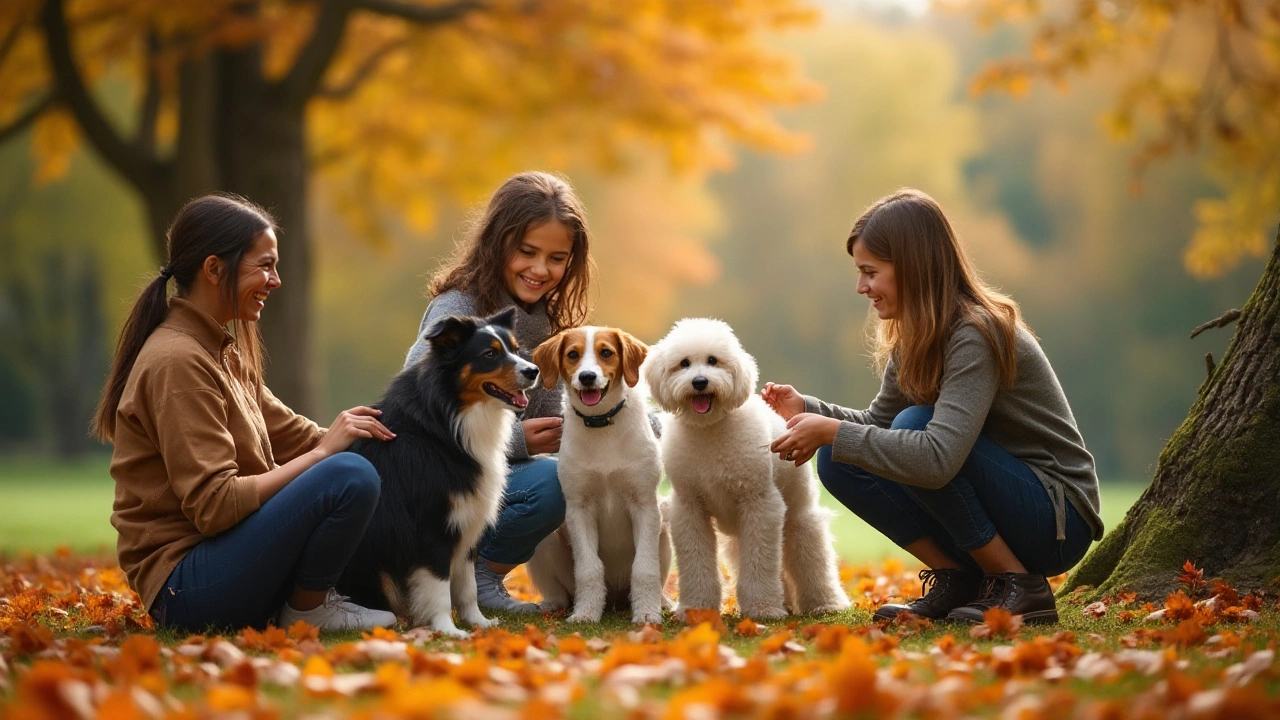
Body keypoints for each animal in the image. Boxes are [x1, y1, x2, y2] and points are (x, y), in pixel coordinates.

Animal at [337, 308, 537, 632]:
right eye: (489, 354)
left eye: (516, 349)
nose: (534, 371)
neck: (448, 420)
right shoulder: (432, 525)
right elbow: (439, 586)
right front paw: (448, 630)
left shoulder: (467, 520)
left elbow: (467, 587)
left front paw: (479, 623)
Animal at [524, 326, 675, 622]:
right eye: (573, 355)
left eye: (606, 352)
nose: (587, 377)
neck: (601, 424)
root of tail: (616, 598)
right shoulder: (579, 508)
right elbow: (589, 568)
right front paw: (586, 614)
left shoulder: (645, 505)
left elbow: (645, 568)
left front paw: (647, 614)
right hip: (546, 540)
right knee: (560, 591)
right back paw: (553, 605)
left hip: (665, 528)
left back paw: (663, 603)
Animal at [645, 317, 844, 617]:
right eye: (684, 363)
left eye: (713, 360)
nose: (700, 382)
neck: (711, 428)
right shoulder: (690, 509)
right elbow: (696, 562)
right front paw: (696, 608)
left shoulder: (760, 505)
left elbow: (760, 564)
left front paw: (763, 609)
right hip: (739, 535)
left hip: (798, 519)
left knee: (812, 561)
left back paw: (825, 603)